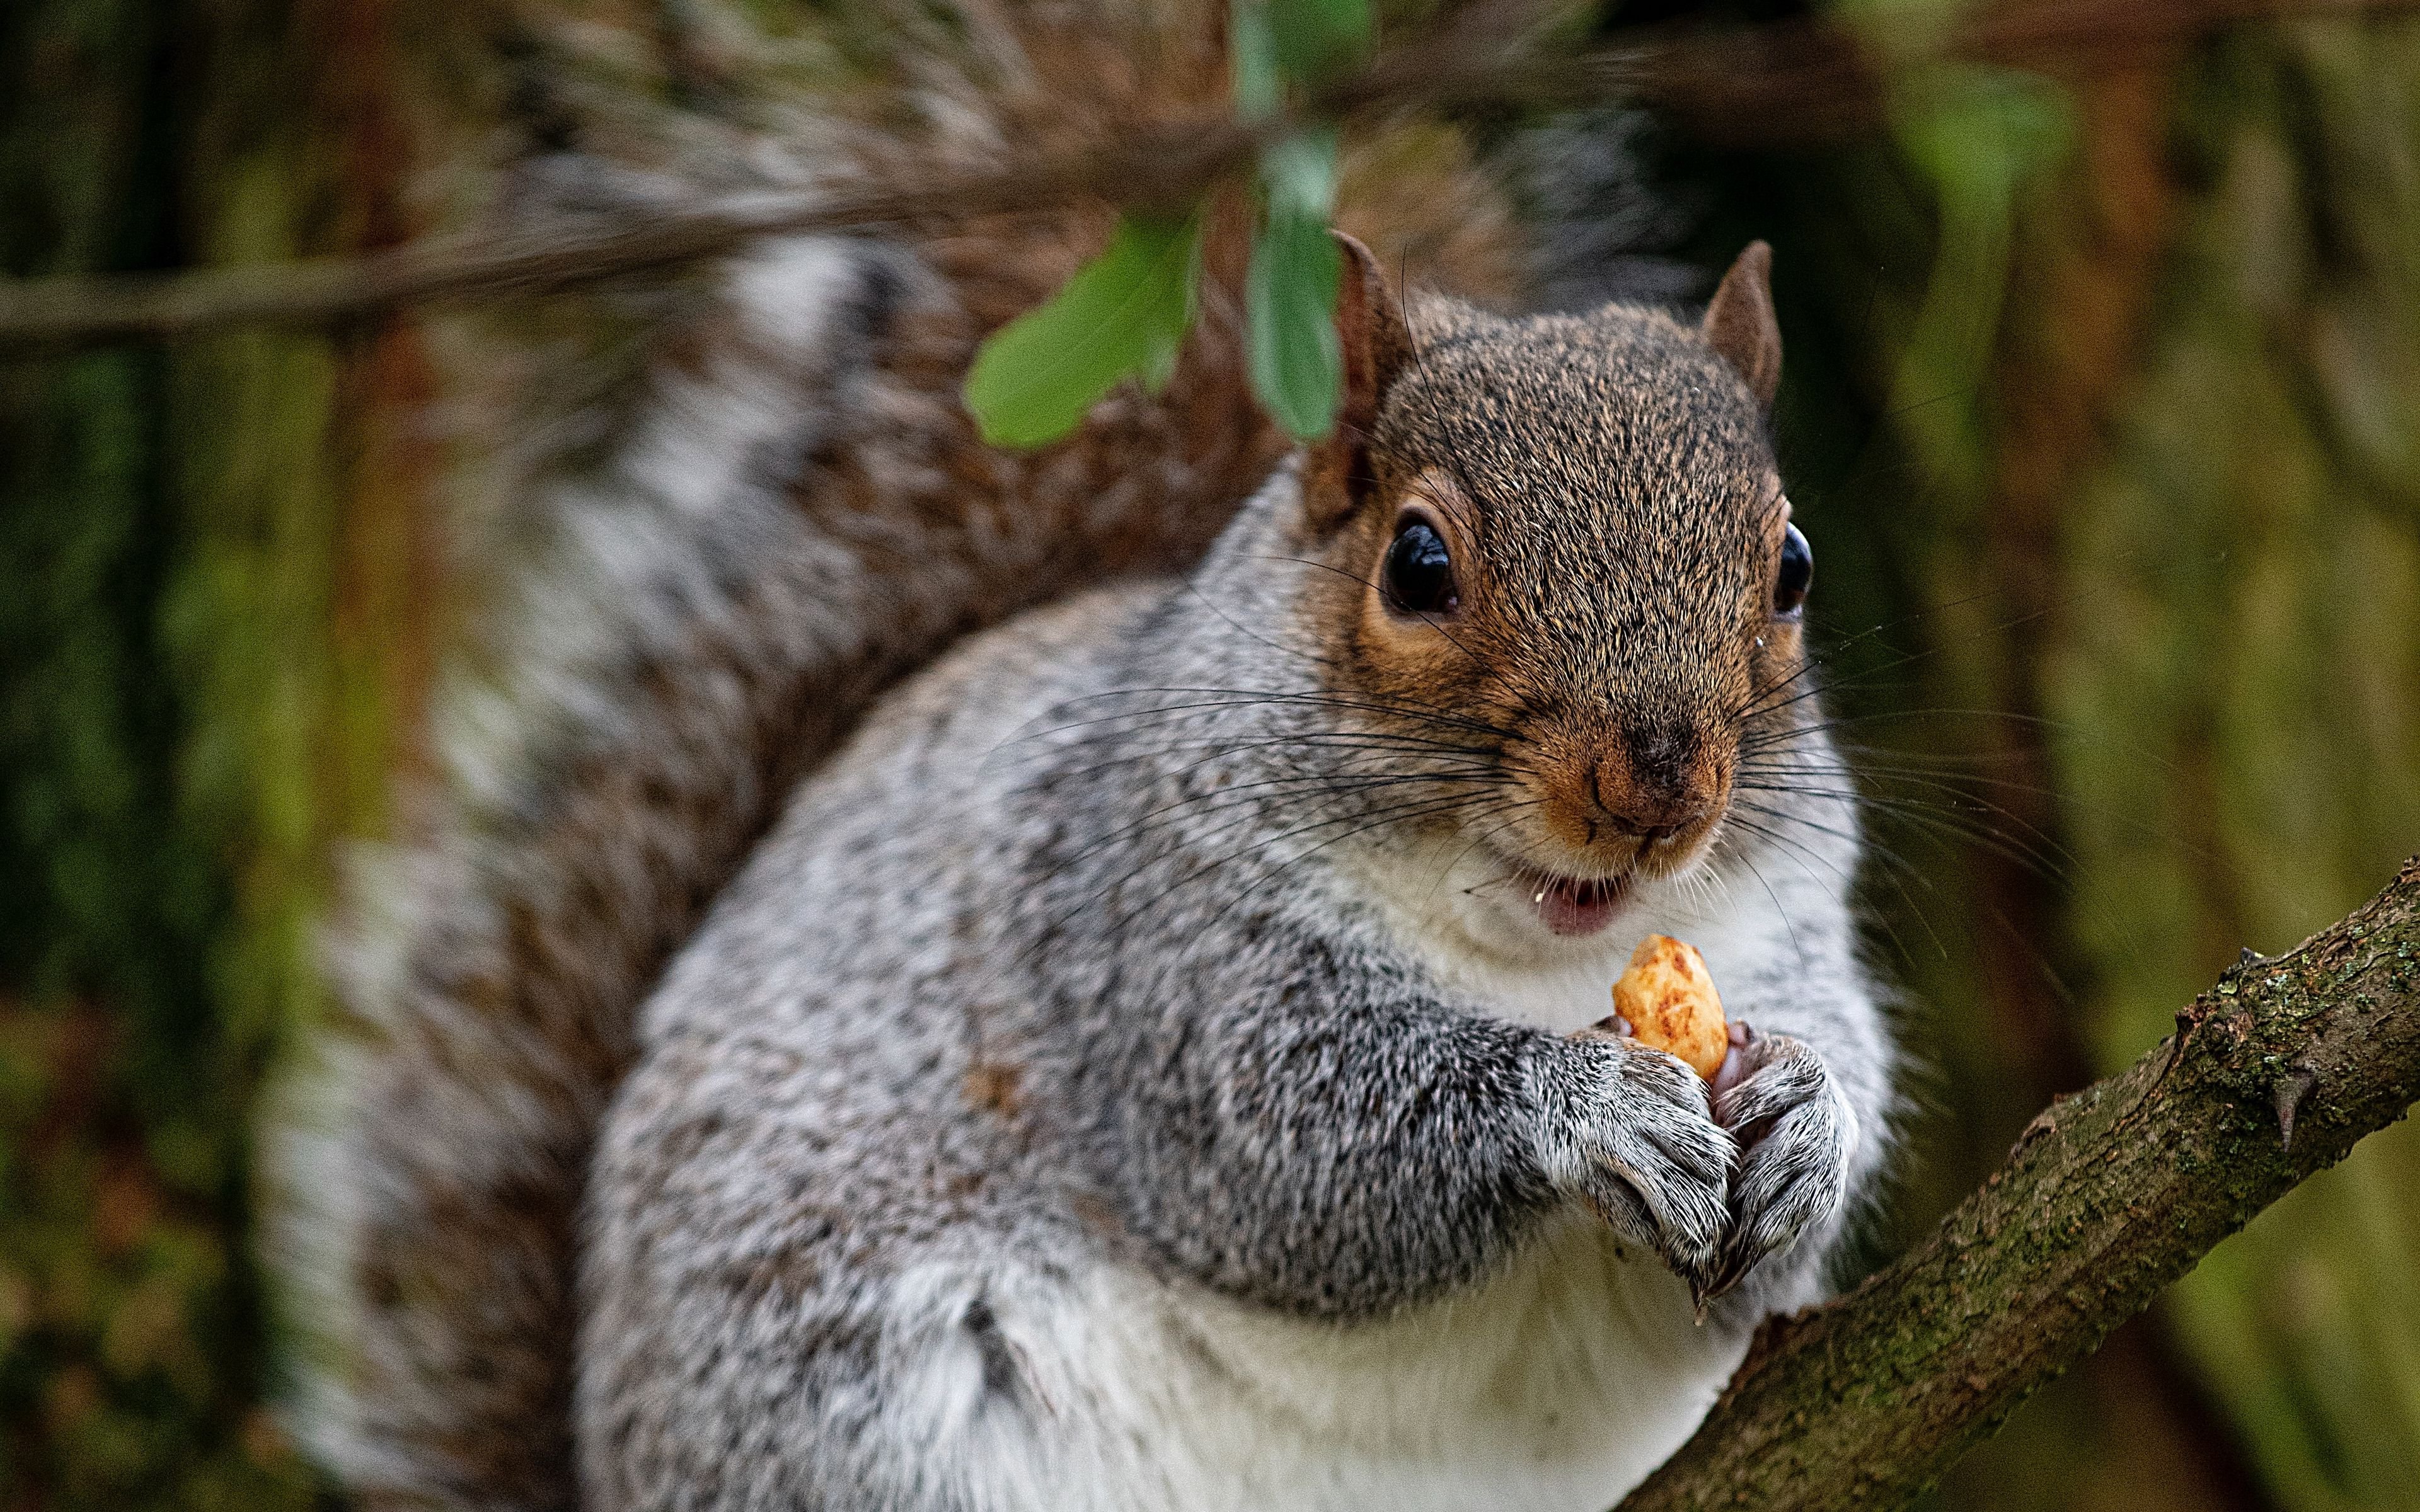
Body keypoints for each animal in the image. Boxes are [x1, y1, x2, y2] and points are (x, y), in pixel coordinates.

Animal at [265, 6, 1887, 1499]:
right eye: (1418, 564)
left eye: (1794, 565)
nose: (1654, 788)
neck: (1541, 955)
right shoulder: (1136, 946)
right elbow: (1295, 1140)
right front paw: (1582, 1104)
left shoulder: (1783, 925)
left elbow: (1808, 1140)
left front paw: (1808, 1116)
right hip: (864, 1408)